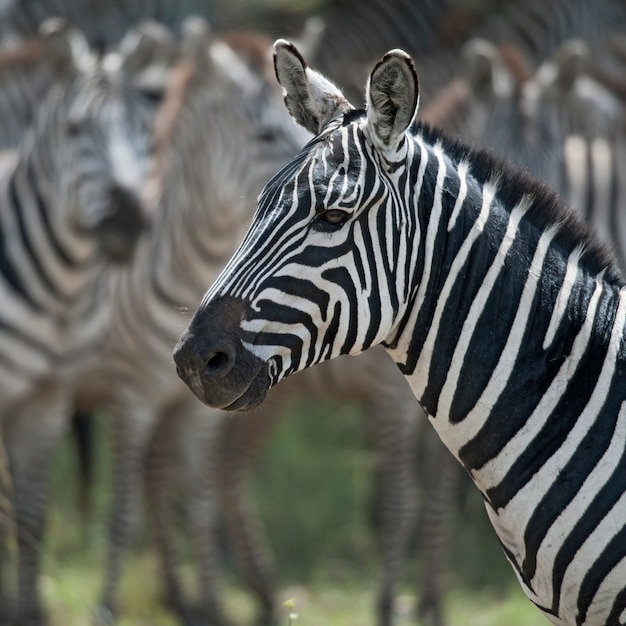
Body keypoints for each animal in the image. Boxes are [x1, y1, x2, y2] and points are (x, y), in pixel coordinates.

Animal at [0, 19, 160, 624]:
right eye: (73, 130)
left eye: (145, 130)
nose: (129, 222)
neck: (62, 294)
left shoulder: (48, 401)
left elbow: (31, 516)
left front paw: (27, 610)